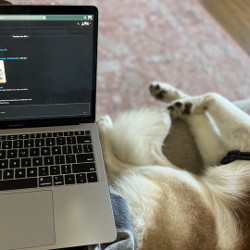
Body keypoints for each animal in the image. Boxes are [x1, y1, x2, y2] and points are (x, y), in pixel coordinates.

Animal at [97, 82, 250, 250]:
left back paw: (105, 128)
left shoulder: (240, 136)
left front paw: (186, 104)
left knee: (118, 164)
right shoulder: (218, 153)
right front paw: (179, 101)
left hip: (180, 179)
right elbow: (204, 112)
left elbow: (213, 96)